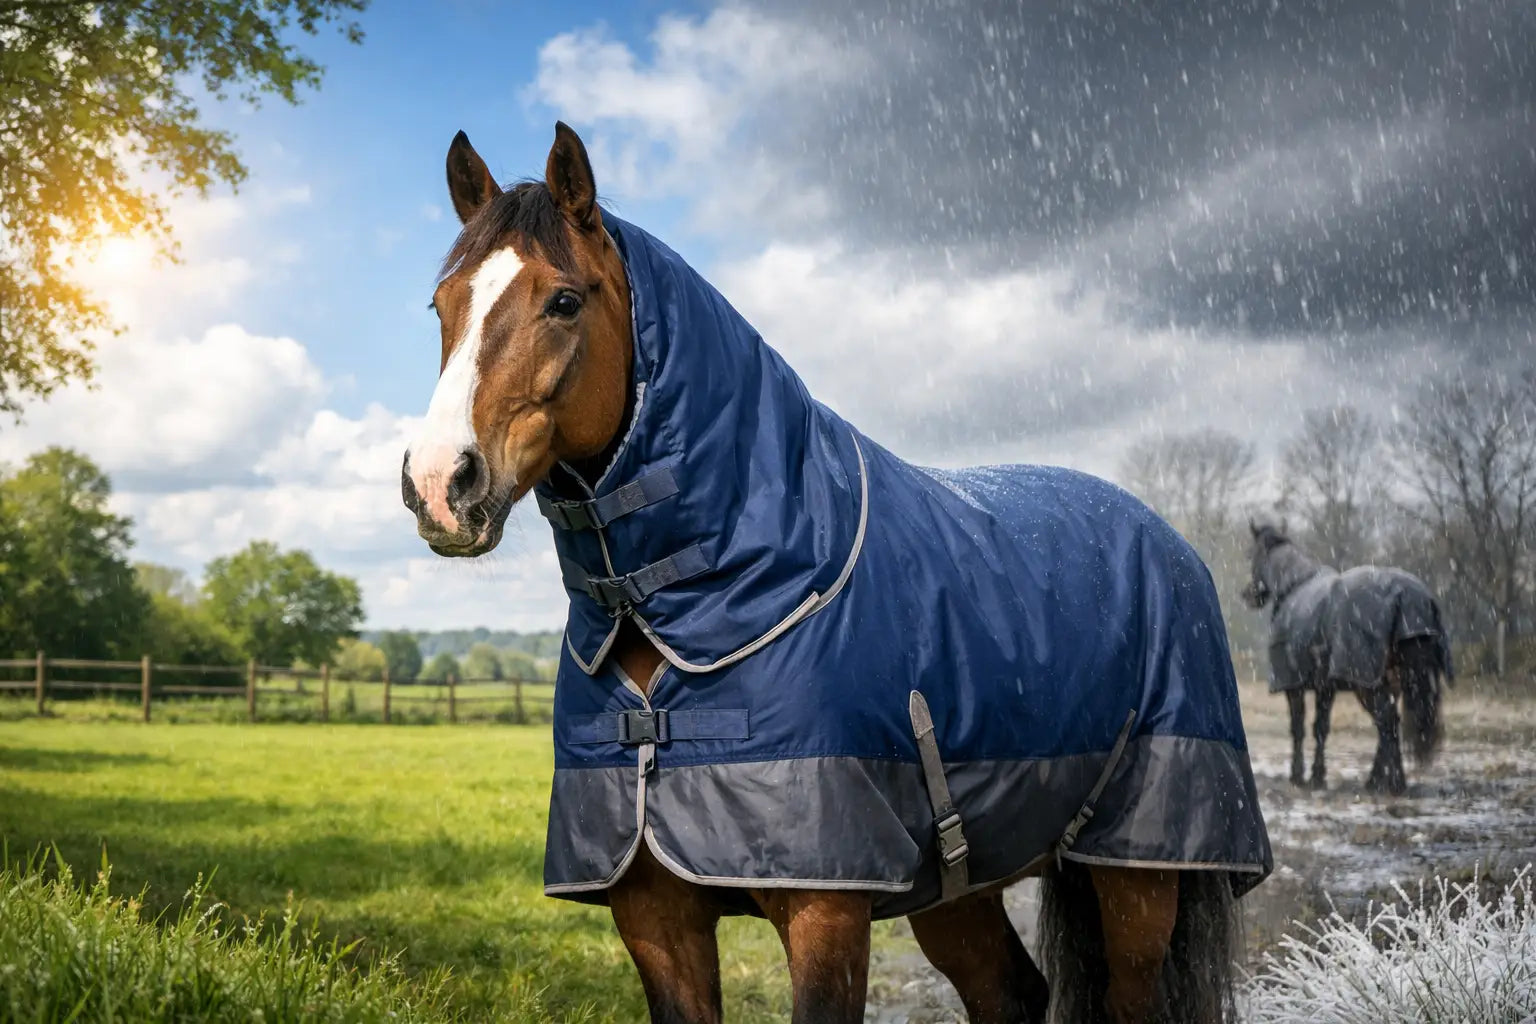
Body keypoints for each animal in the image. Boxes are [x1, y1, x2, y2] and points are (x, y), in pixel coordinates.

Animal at [400, 122, 1272, 1024]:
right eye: (443, 305)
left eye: (564, 301)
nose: (439, 484)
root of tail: (1170, 542)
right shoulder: (654, 915)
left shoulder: (828, 907)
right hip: (965, 885)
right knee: (1011, 993)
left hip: (1138, 874)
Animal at [1240, 520, 1453, 796]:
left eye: (1250, 554)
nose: (1247, 594)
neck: (1294, 585)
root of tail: (1407, 597)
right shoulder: (1325, 686)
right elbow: (1321, 728)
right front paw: (1317, 777)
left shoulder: (1293, 685)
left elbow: (1298, 728)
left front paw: (1298, 776)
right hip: (1389, 682)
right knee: (1387, 725)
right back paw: (1377, 781)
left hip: (1367, 683)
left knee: (1387, 722)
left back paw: (1393, 783)